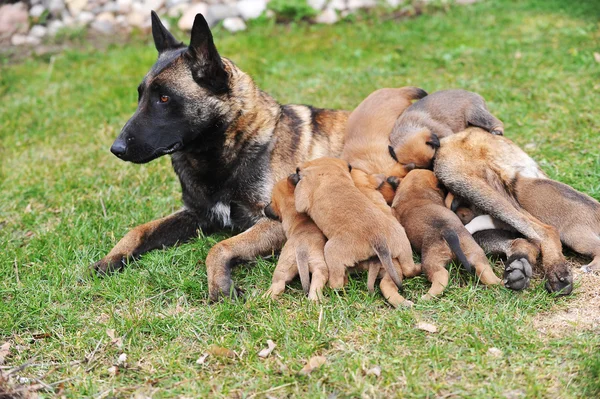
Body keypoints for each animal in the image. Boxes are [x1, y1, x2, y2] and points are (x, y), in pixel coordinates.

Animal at [91, 10, 350, 300]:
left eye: (164, 98)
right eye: (140, 96)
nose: (116, 149)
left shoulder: (276, 221)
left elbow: (219, 247)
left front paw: (220, 284)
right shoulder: (198, 215)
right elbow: (139, 229)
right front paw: (113, 257)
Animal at [292, 159, 418, 294]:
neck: (328, 171)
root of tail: (379, 239)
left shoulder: (302, 197)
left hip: (331, 250)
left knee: (336, 282)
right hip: (403, 245)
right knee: (409, 269)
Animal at [392, 169, 504, 300]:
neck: (414, 188)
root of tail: (448, 232)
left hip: (432, 260)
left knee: (441, 275)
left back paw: (427, 296)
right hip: (474, 252)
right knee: (484, 270)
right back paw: (501, 282)